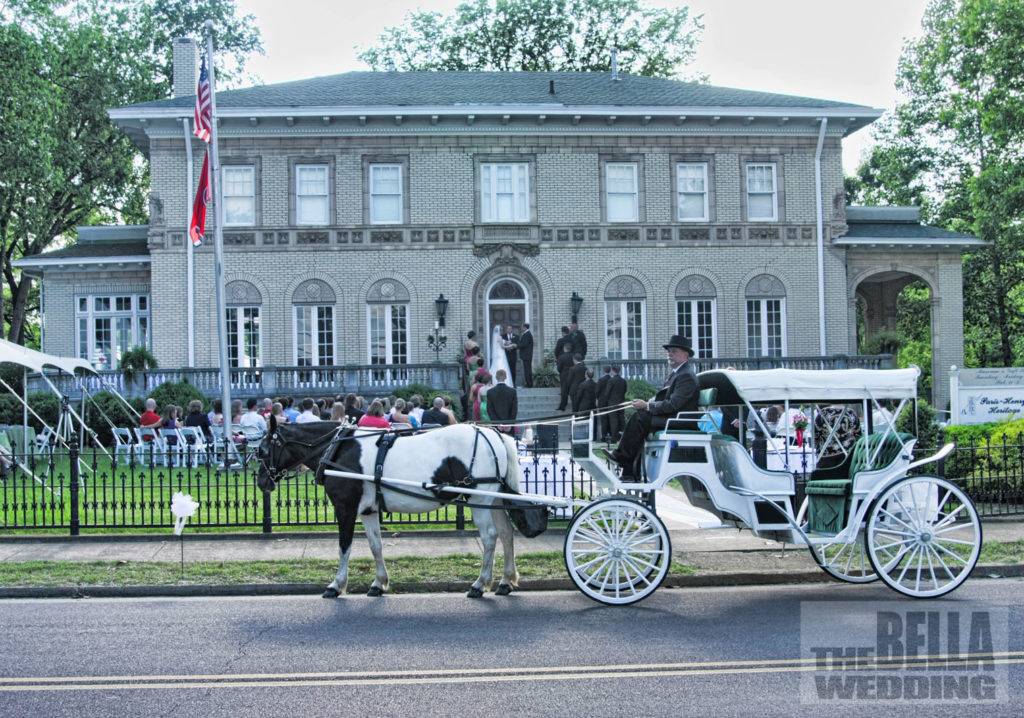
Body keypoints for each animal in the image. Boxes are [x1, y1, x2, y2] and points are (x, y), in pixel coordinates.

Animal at [258, 421, 520, 598]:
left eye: (262, 450)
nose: (261, 482)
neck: (337, 449)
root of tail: (493, 434)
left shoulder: (346, 508)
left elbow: (344, 546)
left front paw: (336, 585)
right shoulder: (368, 511)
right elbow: (376, 546)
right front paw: (378, 583)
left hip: (480, 496)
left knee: (490, 536)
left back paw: (480, 584)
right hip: (495, 499)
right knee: (506, 533)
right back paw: (505, 581)